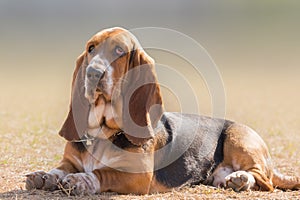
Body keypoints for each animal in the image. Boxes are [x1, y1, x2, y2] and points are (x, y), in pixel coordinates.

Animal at [25, 27, 300, 195]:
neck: (104, 133)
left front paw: (80, 180)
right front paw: (45, 176)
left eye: (118, 51)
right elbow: (60, 168)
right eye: (91, 48)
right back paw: (229, 178)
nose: (93, 72)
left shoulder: (137, 176)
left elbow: (103, 173)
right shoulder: (70, 161)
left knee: (263, 179)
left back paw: (241, 178)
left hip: (239, 138)